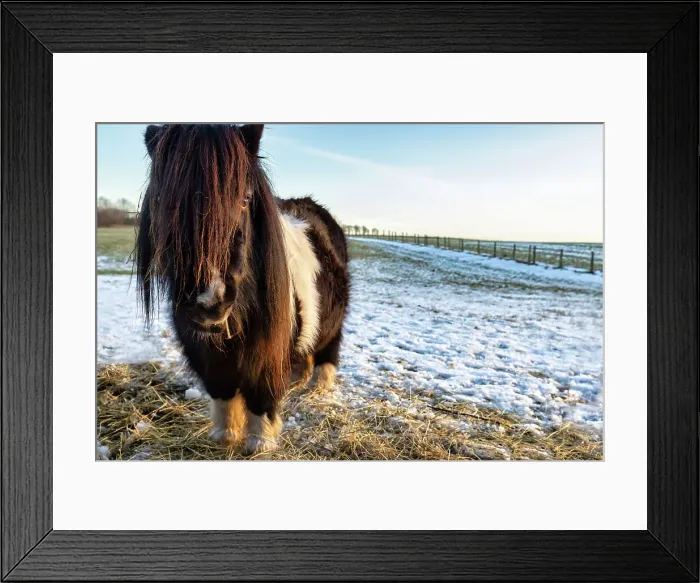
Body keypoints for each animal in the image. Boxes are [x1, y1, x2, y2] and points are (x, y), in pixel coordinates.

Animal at [136, 124, 350, 455]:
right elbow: (222, 392)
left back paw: (319, 386)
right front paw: (224, 435)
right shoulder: (206, 355)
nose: (209, 304)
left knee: (328, 351)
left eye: (245, 199)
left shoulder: (268, 355)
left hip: (333, 327)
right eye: (162, 202)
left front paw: (259, 444)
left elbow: (262, 396)